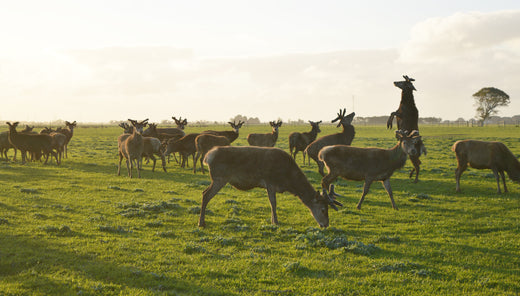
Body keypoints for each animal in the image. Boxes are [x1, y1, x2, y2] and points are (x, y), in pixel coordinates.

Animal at [198, 146, 342, 227]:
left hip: (218, 179)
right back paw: (201, 223)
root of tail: (208, 157)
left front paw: (273, 220)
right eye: (323, 209)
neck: (288, 179)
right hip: (219, 178)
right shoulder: (270, 182)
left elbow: (272, 203)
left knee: (204, 192)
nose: (326, 225)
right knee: (205, 194)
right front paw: (276, 222)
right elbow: (273, 203)